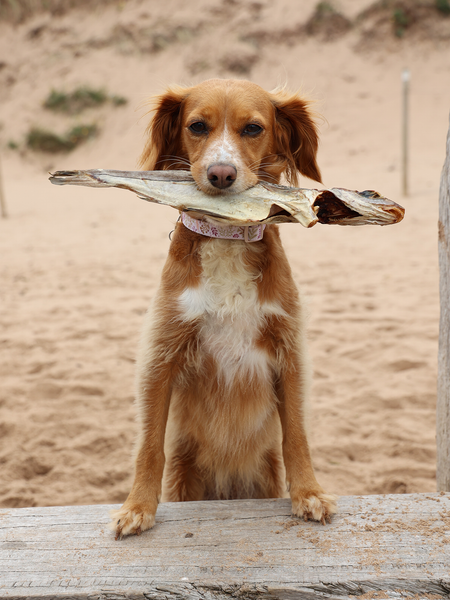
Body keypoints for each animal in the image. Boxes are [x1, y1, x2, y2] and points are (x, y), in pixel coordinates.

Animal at [110, 77, 338, 536]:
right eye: (197, 126)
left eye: (253, 129)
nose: (220, 174)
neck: (227, 234)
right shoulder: (160, 356)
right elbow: (149, 443)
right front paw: (137, 506)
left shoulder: (289, 352)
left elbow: (296, 434)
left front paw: (308, 493)